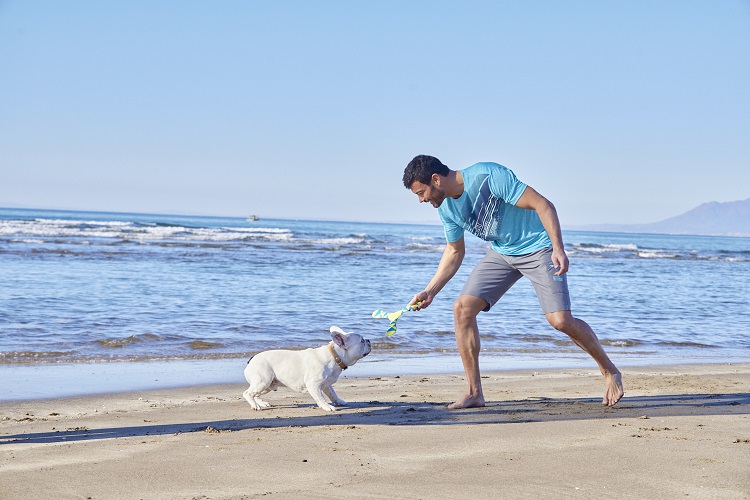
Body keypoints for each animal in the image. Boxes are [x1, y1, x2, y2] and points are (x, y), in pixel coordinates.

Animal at [244, 326, 374, 412]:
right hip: (263, 381)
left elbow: (333, 394)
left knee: (255, 395)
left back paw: (262, 403)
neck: (334, 355)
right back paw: (255, 406)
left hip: (268, 385)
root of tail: (251, 360)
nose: (369, 340)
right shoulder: (314, 385)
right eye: (362, 341)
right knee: (247, 393)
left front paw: (339, 401)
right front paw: (327, 406)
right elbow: (320, 397)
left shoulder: (326, 385)